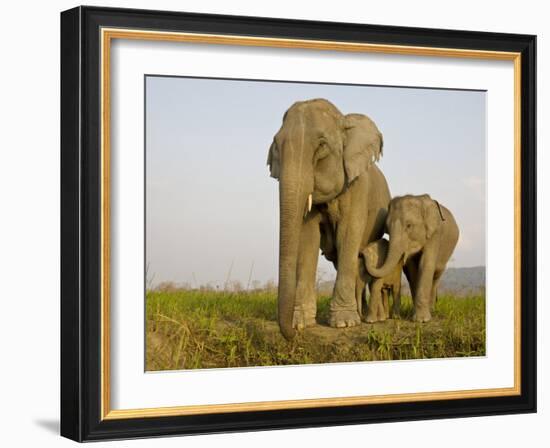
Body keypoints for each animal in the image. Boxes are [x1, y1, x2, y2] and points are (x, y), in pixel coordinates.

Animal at [268, 99, 392, 340]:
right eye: (276, 145)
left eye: (322, 145)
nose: (293, 336)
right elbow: (307, 239)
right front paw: (301, 323)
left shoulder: (358, 187)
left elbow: (348, 234)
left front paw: (344, 323)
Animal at [366, 194, 462, 324]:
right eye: (387, 229)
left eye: (409, 225)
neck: (418, 199)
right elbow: (411, 268)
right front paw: (415, 316)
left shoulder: (435, 234)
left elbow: (426, 264)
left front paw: (422, 320)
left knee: (436, 275)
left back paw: (432, 310)